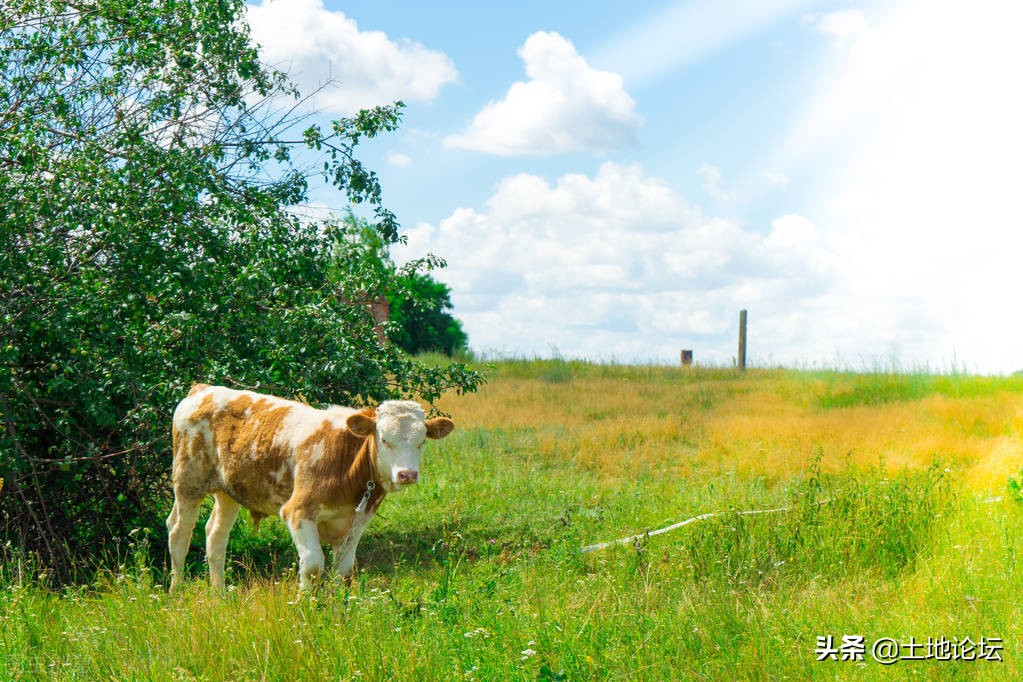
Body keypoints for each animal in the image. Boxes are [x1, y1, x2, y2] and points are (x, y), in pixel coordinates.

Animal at [165, 384, 454, 593]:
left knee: (215, 536)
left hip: (228, 492)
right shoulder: (298, 512)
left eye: (421, 441)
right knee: (179, 533)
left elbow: (344, 570)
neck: (345, 459)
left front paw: (339, 610)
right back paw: (177, 591)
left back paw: (220, 593)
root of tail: (202, 389)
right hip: (188, 483)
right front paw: (305, 608)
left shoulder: (358, 519)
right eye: (384, 439)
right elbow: (313, 566)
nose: (407, 474)